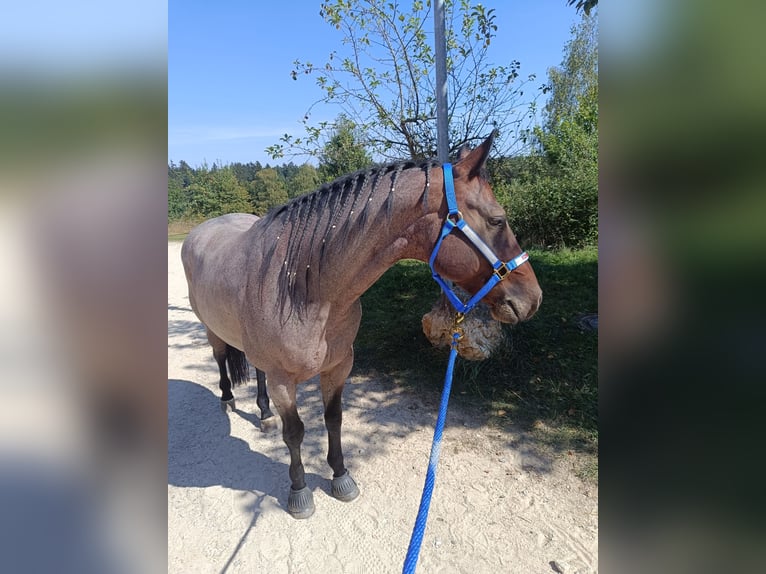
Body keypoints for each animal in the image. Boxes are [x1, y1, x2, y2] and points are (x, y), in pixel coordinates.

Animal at [182, 133, 544, 520]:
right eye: (497, 221)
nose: (533, 298)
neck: (304, 290)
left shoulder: (339, 366)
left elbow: (333, 418)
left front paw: (341, 476)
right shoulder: (284, 381)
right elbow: (294, 432)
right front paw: (299, 492)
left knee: (257, 371)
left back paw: (263, 411)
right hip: (212, 331)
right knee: (221, 358)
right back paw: (228, 399)